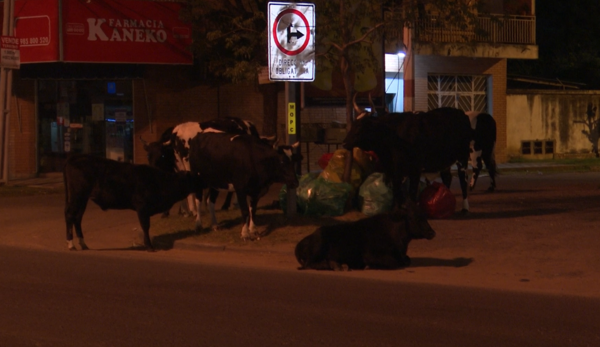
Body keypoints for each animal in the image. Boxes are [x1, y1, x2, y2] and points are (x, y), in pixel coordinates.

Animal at [63, 154, 203, 250]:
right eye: (194, 178)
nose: (203, 184)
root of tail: (75, 158)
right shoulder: (142, 207)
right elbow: (145, 226)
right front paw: (149, 246)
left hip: (83, 199)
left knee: (77, 218)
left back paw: (83, 244)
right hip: (77, 196)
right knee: (70, 216)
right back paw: (71, 245)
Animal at [296, 204, 436, 272]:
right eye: (414, 218)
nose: (432, 232)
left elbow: (406, 260)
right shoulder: (371, 255)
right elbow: (394, 263)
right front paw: (368, 266)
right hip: (318, 248)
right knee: (310, 264)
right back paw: (337, 265)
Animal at [344, 107, 476, 213]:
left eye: (361, 126)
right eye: (353, 124)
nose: (345, 143)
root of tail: (459, 112)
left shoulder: (415, 168)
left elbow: (411, 191)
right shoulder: (393, 170)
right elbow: (397, 190)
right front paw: (396, 209)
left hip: (462, 157)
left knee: (463, 181)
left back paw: (465, 208)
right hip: (444, 162)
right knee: (447, 178)